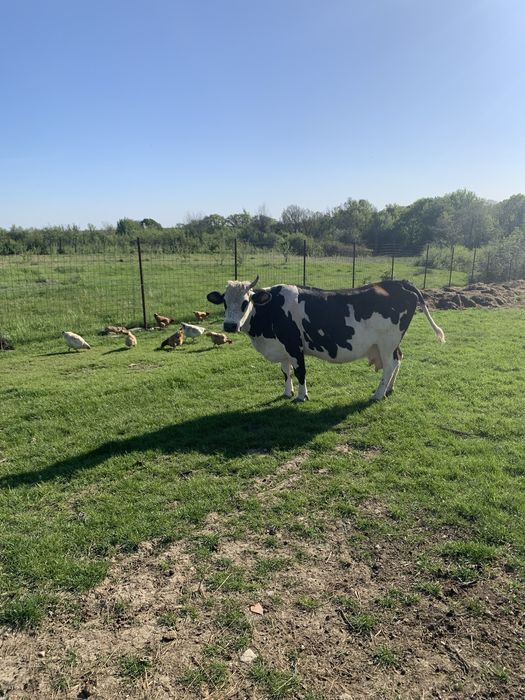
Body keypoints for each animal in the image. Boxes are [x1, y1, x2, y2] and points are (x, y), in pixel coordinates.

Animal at [207, 277, 445, 402]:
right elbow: (285, 371)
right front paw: (287, 392)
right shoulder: (282, 348)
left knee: (390, 365)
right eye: (225, 302)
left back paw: (378, 394)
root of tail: (399, 283)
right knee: (399, 358)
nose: (229, 326)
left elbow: (300, 372)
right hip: (391, 344)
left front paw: (301, 396)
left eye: (246, 302)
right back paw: (389, 389)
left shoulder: (294, 346)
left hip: (387, 343)